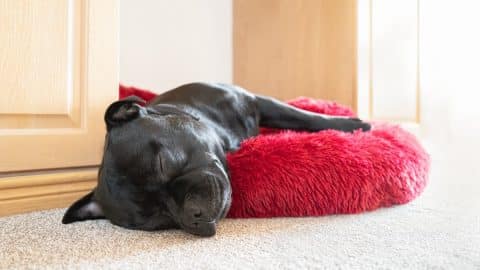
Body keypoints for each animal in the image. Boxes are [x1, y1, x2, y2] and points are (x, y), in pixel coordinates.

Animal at [62, 83, 372, 236]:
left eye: (163, 162)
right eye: (158, 220)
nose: (192, 215)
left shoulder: (256, 101)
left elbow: (301, 116)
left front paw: (352, 125)